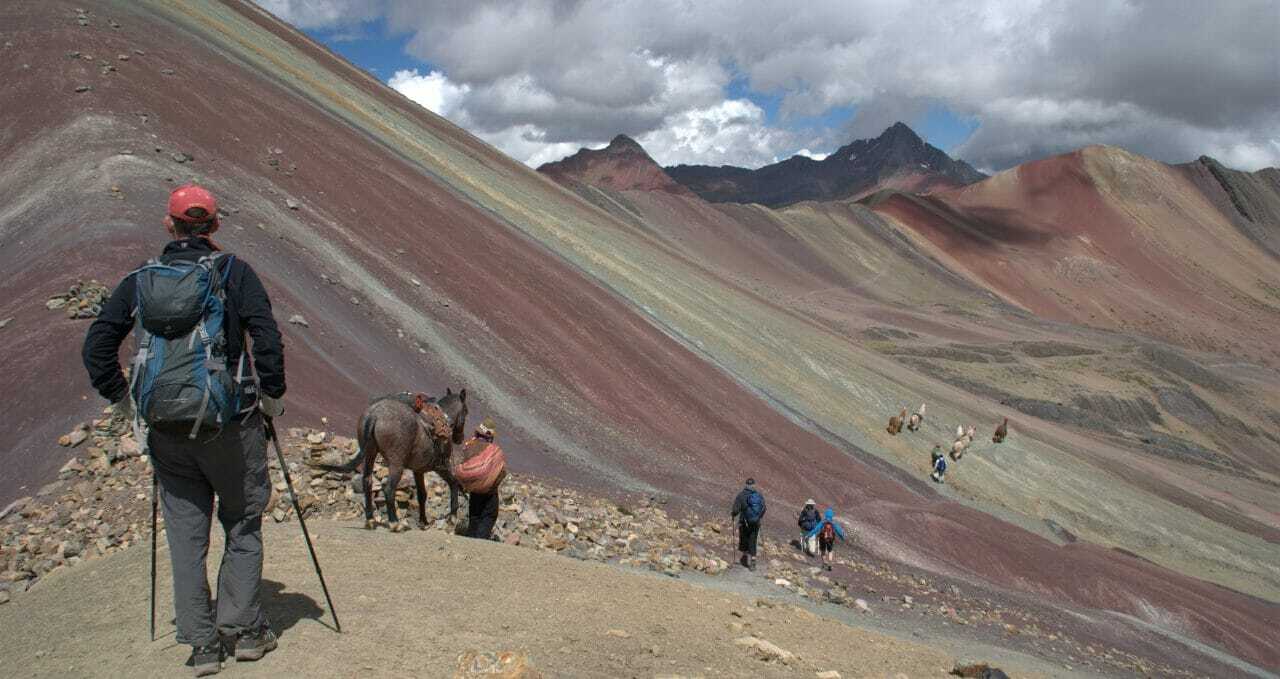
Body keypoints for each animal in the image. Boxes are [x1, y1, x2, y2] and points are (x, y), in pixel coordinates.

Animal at [312, 386, 468, 527]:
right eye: (466, 411)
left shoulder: (418, 471)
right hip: (396, 464)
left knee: (367, 481)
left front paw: (423, 521)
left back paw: (370, 519)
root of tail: (375, 415)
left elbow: (422, 495)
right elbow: (453, 483)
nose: (459, 438)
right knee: (388, 489)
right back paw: (394, 523)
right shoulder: (441, 466)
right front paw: (452, 517)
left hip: (370, 453)